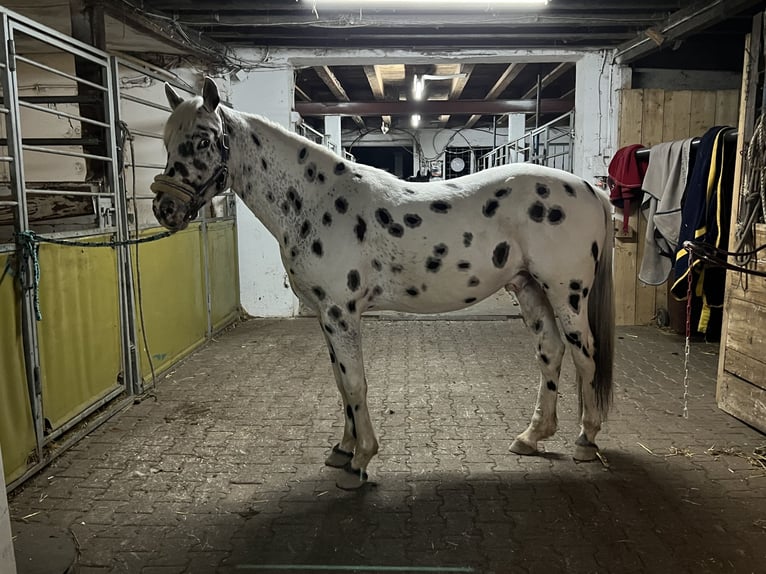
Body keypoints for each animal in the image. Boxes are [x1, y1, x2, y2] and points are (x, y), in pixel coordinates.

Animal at [152, 76, 616, 490]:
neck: (315, 201)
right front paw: (342, 450)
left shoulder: (340, 312)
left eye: (204, 140)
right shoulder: (326, 315)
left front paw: (360, 461)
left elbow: (355, 381)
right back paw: (531, 437)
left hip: (566, 292)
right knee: (550, 351)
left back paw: (585, 441)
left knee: (585, 355)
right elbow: (340, 381)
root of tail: (588, 187)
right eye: (167, 141)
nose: (165, 208)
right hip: (529, 287)